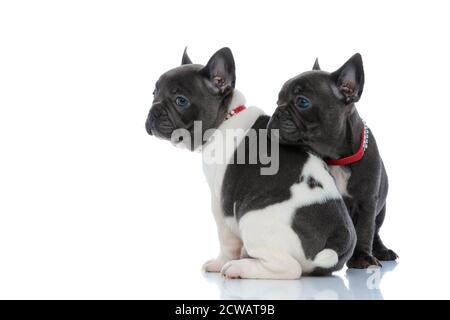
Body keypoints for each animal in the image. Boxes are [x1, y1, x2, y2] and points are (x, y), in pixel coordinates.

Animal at [146, 47, 356, 278]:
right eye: (154, 94)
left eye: (181, 100)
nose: (154, 111)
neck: (225, 118)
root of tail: (335, 242)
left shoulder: (221, 203)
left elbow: (226, 241)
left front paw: (219, 263)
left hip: (251, 218)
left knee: (290, 268)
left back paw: (239, 267)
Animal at [268, 54, 398, 268]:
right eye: (278, 100)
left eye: (302, 102)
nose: (276, 112)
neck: (338, 159)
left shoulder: (367, 203)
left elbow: (365, 230)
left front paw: (362, 257)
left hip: (381, 211)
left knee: (376, 232)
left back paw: (381, 251)